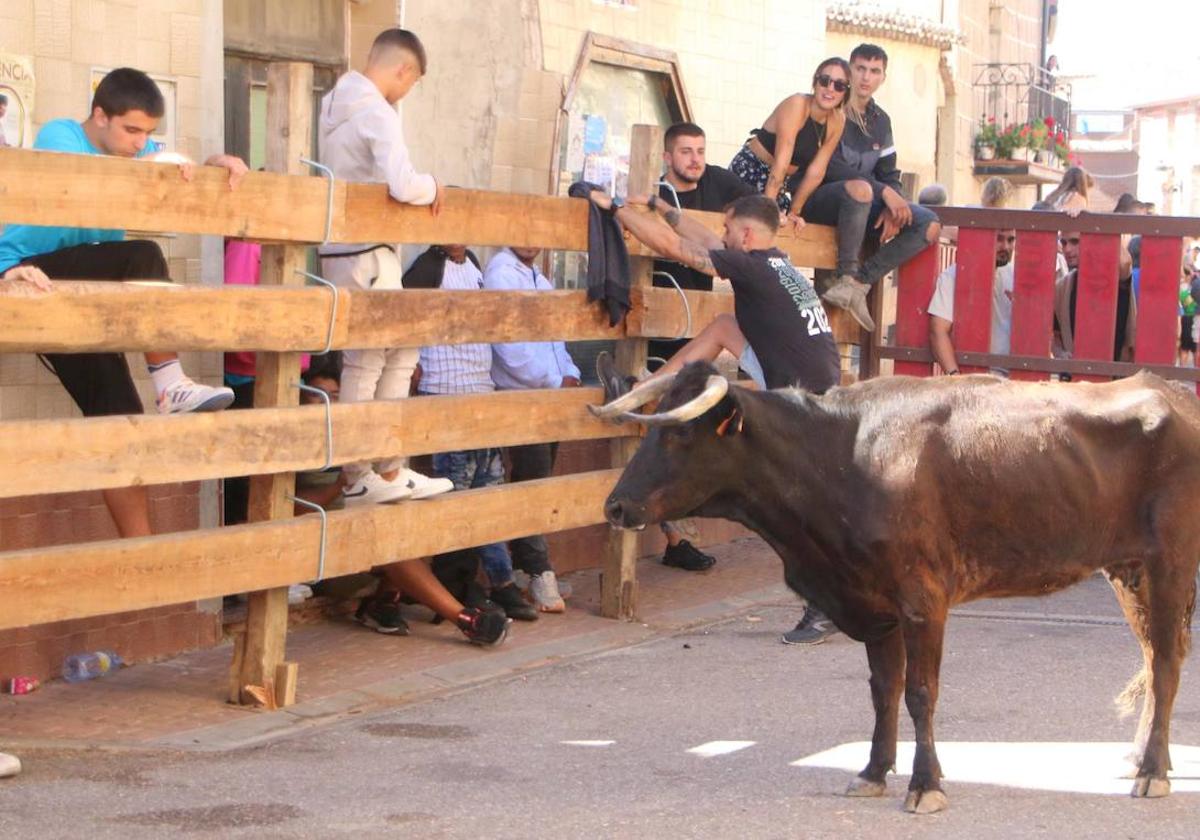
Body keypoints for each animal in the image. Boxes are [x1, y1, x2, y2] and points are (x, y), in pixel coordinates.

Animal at [595, 364, 1195, 816]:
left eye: (679, 433)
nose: (616, 506)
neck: (843, 458)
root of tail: (1173, 392)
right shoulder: (874, 603)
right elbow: (883, 690)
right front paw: (872, 771)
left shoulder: (923, 599)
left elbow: (920, 693)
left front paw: (925, 785)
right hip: (1127, 570)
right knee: (1153, 658)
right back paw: (1144, 758)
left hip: (1170, 564)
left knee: (1166, 664)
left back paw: (1151, 772)